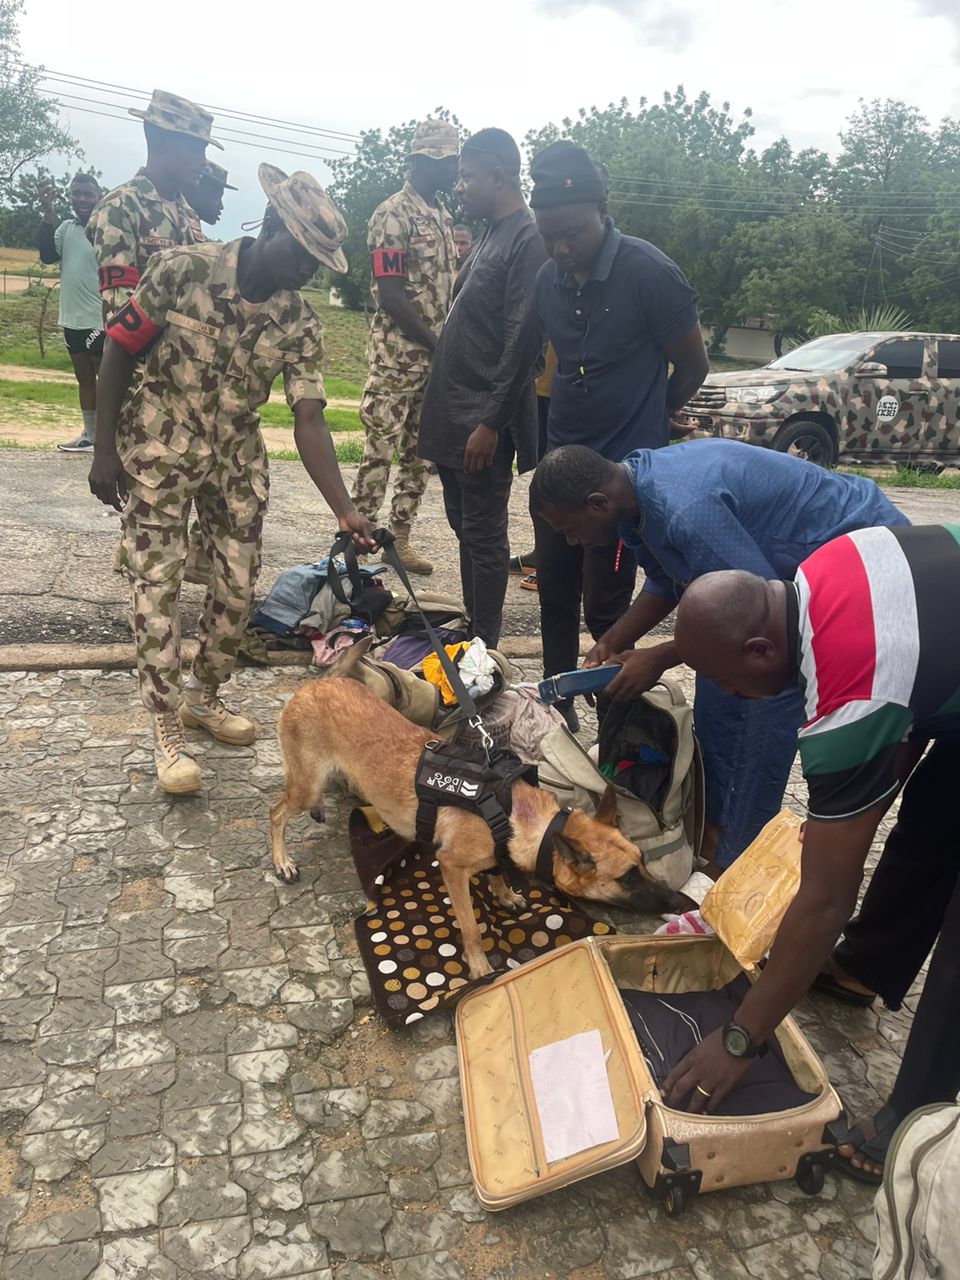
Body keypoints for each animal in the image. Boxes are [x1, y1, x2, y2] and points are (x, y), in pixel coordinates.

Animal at [267, 670, 696, 977]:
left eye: (643, 861)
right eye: (627, 877)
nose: (682, 902)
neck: (517, 816)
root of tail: (315, 683)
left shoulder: (496, 854)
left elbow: (497, 872)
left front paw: (504, 894)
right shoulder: (453, 868)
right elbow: (472, 926)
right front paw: (478, 965)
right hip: (304, 784)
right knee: (277, 812)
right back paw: (282, 860)